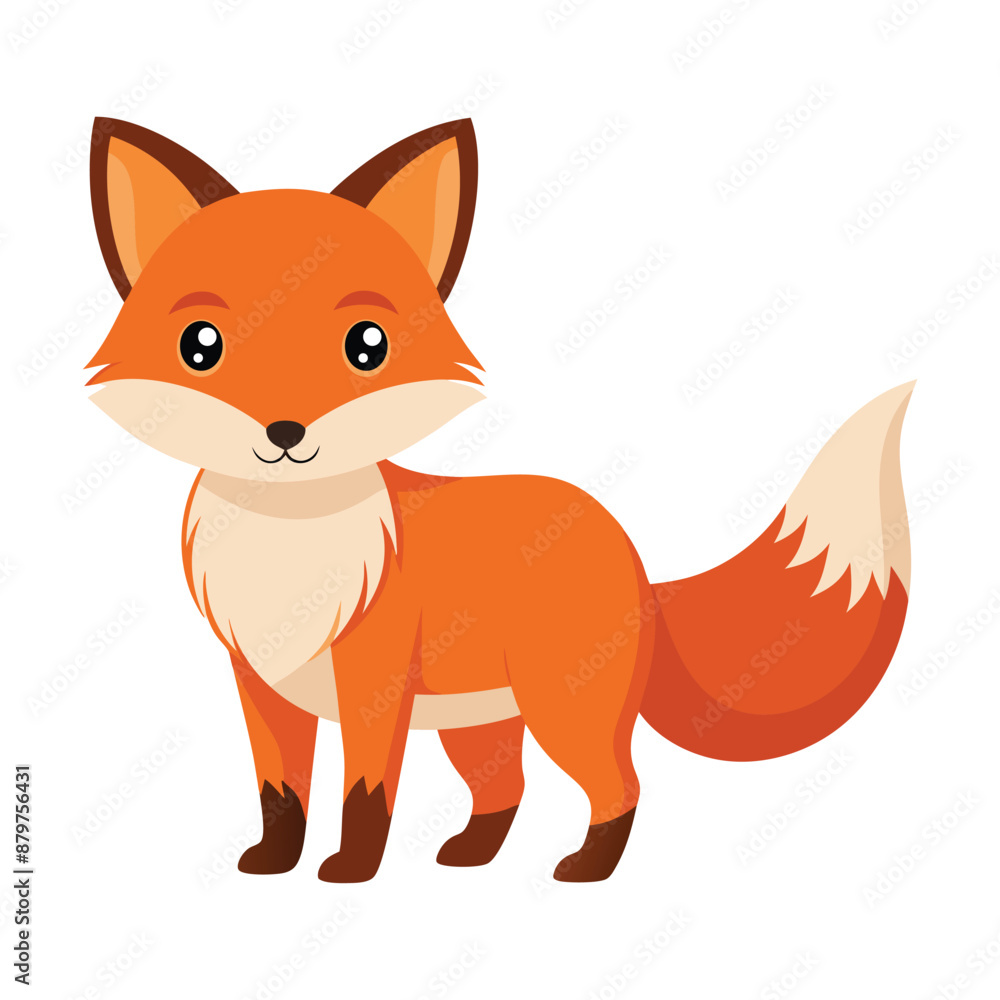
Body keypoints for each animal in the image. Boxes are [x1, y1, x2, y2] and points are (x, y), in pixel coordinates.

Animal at [86, 116, 914, 883]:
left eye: (367, 346)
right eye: (201, 346)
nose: (285, 431)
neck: (290, 547)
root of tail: (634, 558)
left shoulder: (373, 687)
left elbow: (364, 794)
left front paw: (351, 869)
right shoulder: (261, 684)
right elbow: (279, 792)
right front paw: (272, 862)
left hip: (563, 709)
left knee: (619, 786)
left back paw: (588, 869)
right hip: (481, 721)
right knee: (505, 791)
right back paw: (472, 856)